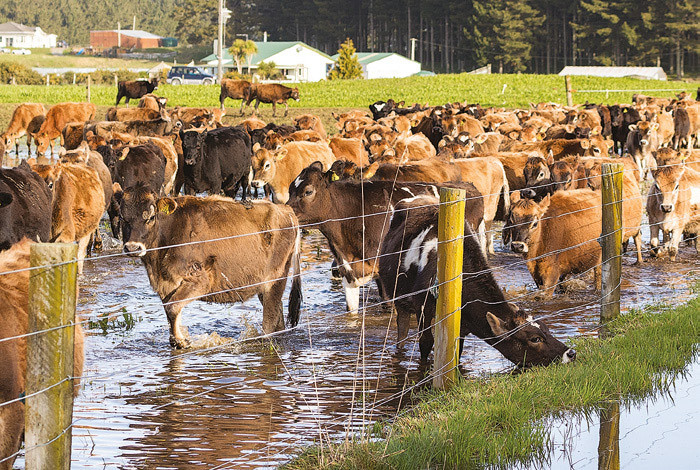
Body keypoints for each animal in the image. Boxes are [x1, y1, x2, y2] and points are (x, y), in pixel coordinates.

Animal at [117, 186, 302, 348]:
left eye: (150, 218)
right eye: (123, 218)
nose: (132, 247)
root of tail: (286, 210)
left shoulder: (201, 280)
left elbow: (172, 307)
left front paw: (180, 341)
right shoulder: (167, 285)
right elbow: (170, 311)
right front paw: (177, 338)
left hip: (275, 281)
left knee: (270, 322)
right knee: (278, 318)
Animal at [378, 197, 576, 366]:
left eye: (547, 330)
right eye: (535, 339)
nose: (570, 353)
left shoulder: (462, 326)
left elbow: (457, 352)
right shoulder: (423, 308)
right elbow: (426, 344)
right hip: (401, 302)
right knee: (402, 334)